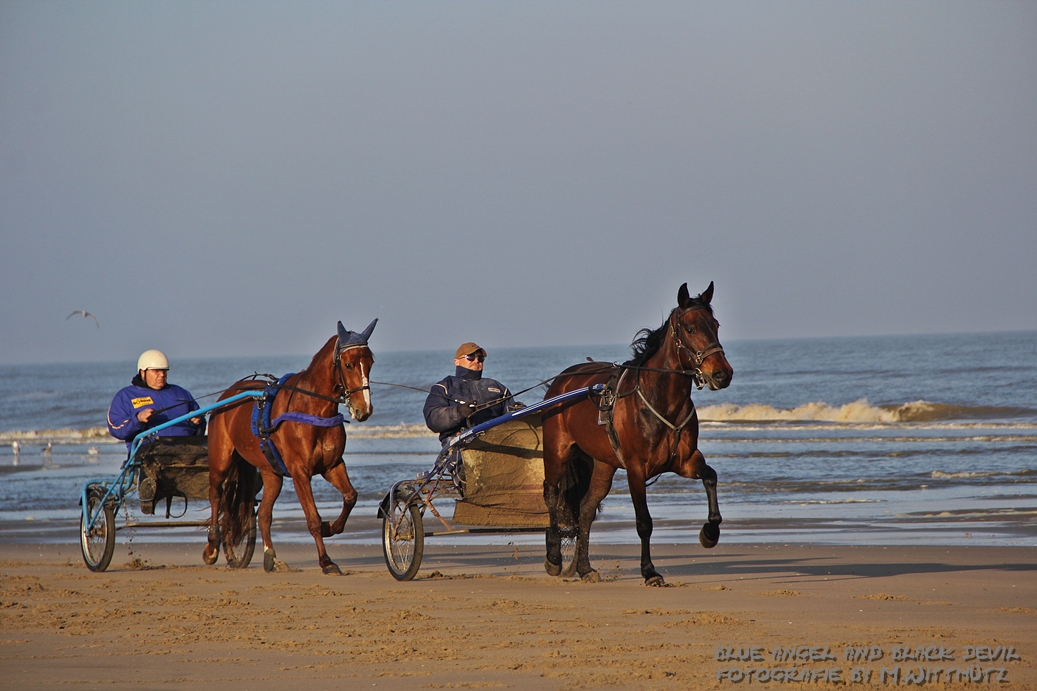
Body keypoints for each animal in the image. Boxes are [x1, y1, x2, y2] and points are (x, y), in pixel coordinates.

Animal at [202, 319, 377, 572]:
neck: (312, 408)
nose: (364, 410)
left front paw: (331, 527)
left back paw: (270, 556)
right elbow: (312, 518)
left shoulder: (332, 466)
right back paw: (212, 546)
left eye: (370, 363)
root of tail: (228, 395)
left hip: (271, 472)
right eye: (348, 364)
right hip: (221, 460)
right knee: (216, 495)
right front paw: (326, 561)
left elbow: (350, 496)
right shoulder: (299, 471)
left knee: (264, 514)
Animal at [543, 282, 738, 585]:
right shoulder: (636, 468)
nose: (722, 374)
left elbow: (710, 477)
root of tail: (561, 382)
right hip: (557, 450)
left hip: (603, 464)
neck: (660, 400)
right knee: (551, 494)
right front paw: (649, 571)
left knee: (586, 509)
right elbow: (644, 523)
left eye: (715, 325)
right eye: (690, 329)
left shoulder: (685, 461)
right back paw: (553, 557)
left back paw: (584, 567)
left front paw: (710, 533)